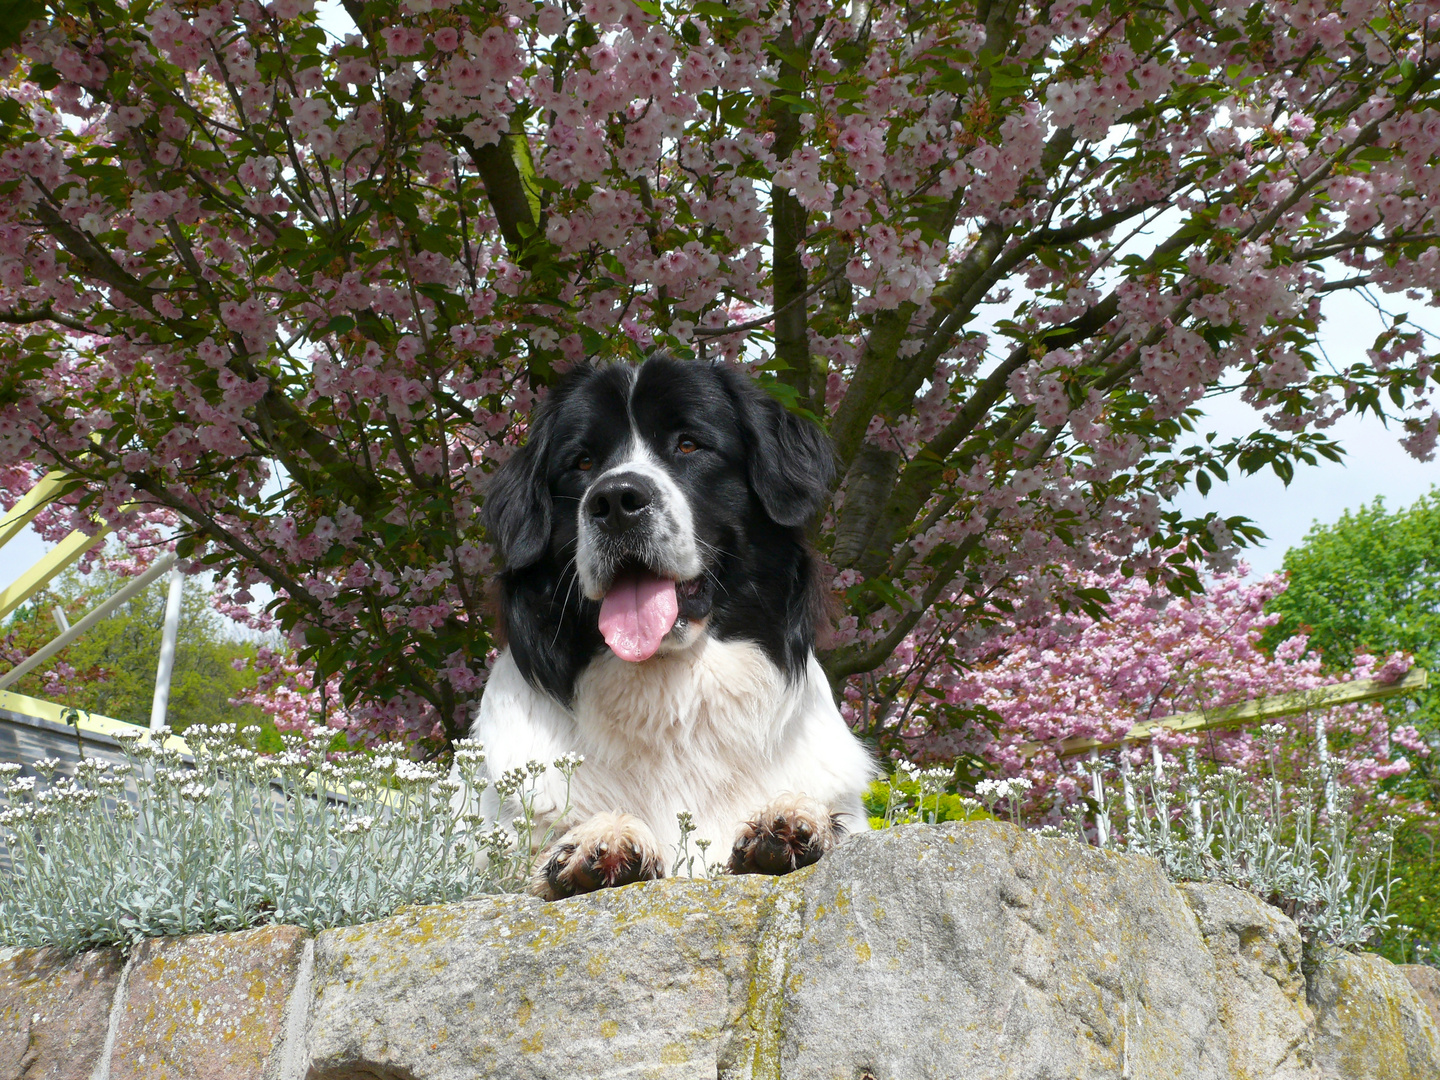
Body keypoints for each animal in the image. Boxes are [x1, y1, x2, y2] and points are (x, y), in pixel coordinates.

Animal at [478, 352, 869, 898]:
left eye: (688, 444)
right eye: (582, 462)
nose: (615, 501)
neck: (670, 697)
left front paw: (789, 820)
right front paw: (598, 841)